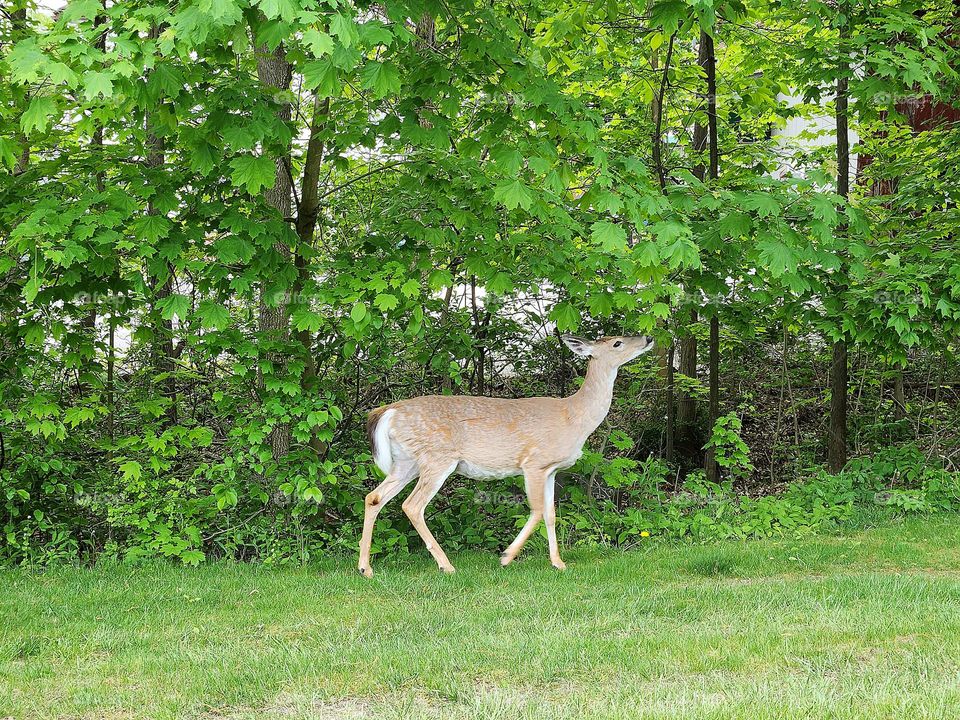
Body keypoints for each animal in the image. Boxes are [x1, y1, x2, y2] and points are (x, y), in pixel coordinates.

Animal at [358, 334, 655, 578]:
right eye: (617, 343)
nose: (648, 338)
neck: (574, 417)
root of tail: (388, 411)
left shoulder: (551, 469)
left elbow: (551, 514)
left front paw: (558, 563)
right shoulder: (534, 462)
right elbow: (537, 510)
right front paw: (506, 557)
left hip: (407, 461)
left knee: (374, 497)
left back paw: (365, 568)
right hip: (436, 457)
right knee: (412, 505)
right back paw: (446, 565)